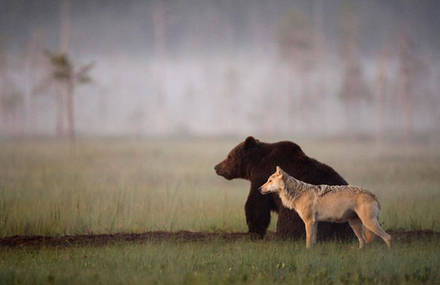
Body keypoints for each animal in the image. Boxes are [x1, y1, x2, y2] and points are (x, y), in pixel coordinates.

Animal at [215, 136, 352, 239]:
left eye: (229, 156)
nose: (216, 167)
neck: (255, 164)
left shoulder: (262, 176)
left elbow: (256, 204)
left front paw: (254, 231)